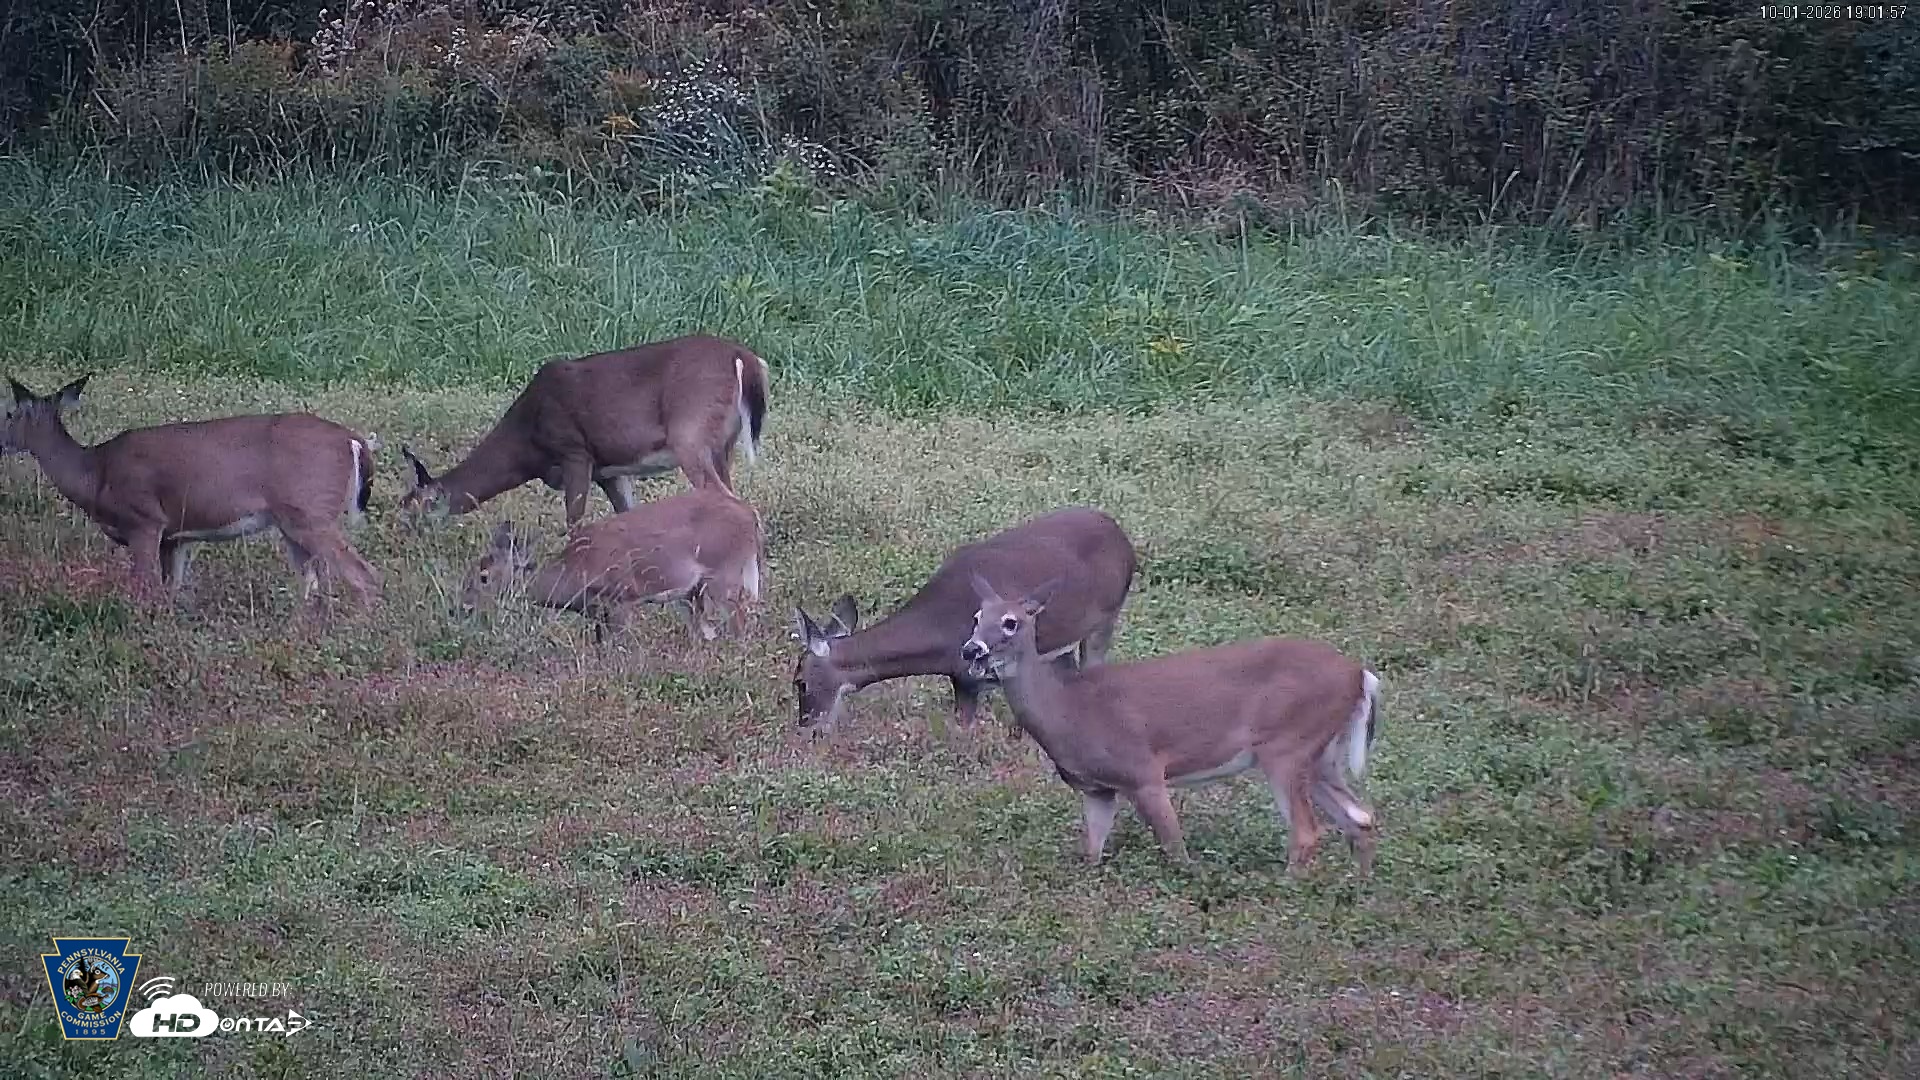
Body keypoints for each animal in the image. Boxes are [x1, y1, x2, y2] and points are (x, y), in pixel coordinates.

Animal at [4, 373, 383, 609]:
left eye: (8, 413)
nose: (1, 443)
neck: (96, 473)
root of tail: (355, 441)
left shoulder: (145, 519)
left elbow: (146, 587)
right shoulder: (175, 537)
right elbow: (171, 590)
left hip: (311, 511)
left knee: (363, 575)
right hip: (293, 521)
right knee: (313, 582)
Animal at [400, 334, 770, 527]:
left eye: (412, 508)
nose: (403, 533)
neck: (526, 444)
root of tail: (745, 357)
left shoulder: (574, 451)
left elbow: (574, 521)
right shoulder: (609, 471)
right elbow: (626, 516)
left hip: (690, 434)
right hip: (722, 444)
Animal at [457, 486, 765, 643]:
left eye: (483, 576)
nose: (461, 607)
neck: (574, 572)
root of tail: (750, 513)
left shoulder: (621, 596)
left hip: (724, 571)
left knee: (738, 617)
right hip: (698, 588)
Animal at [791, 506, 1138, 734]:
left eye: (800, 682)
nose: (806, 729)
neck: (938, 632)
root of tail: (1122, 536)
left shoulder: (971, 680)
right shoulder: (962, 679)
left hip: (1106, 617)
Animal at [961, 573, 1382, 876]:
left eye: (1011, 622)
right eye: (977, 618)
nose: (971, 649)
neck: (1069, 709)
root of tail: (1359, 675)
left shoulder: (1143, 771)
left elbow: (1176, 849)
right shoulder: (1098, 789)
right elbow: (1091, 853)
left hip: (1287, 745)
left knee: (1308, 831)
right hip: (1321, 754)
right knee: (1361, 817)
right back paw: (1356, 888)